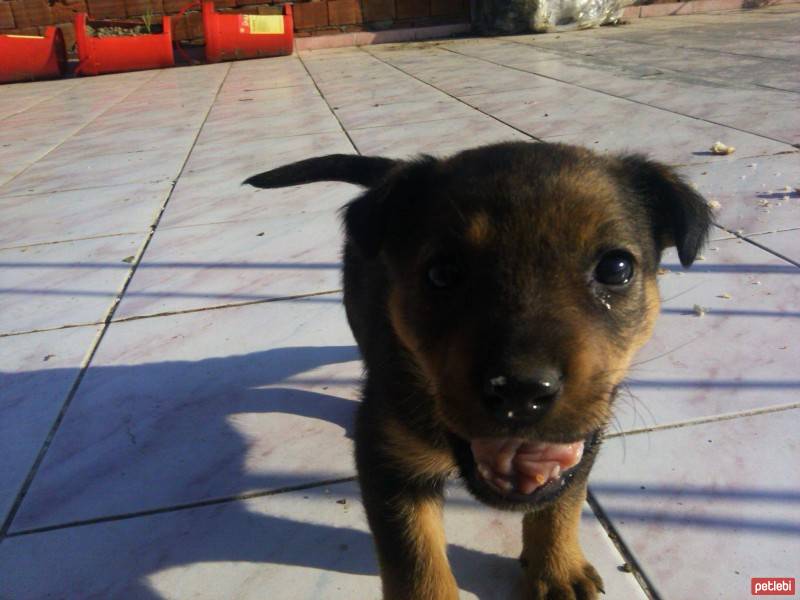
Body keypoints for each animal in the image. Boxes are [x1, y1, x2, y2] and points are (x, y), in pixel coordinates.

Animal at [245, 143, 712, 600]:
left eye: (616, 268)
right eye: (442, 273)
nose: (521, 391)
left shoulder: (584, 436)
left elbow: (562, 501)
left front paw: (556, 569)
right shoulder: (389, 462)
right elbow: (417, 563)